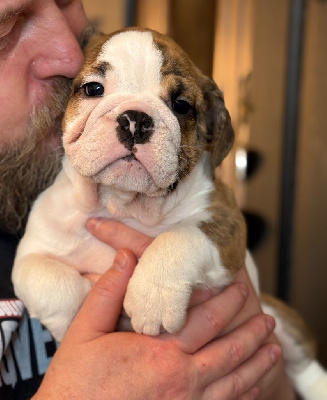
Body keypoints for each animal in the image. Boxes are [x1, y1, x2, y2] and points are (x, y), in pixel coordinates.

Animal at [11, 28, 326, 400]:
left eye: (181, 106)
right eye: (93, 89)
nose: (135, 119)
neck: (125, 204)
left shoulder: (226, 222)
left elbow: (181, 237)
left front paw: (153, 296)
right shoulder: (33, 249)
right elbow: (44, 279)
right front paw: (75, 316)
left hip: (277, 315)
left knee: (303, 365)